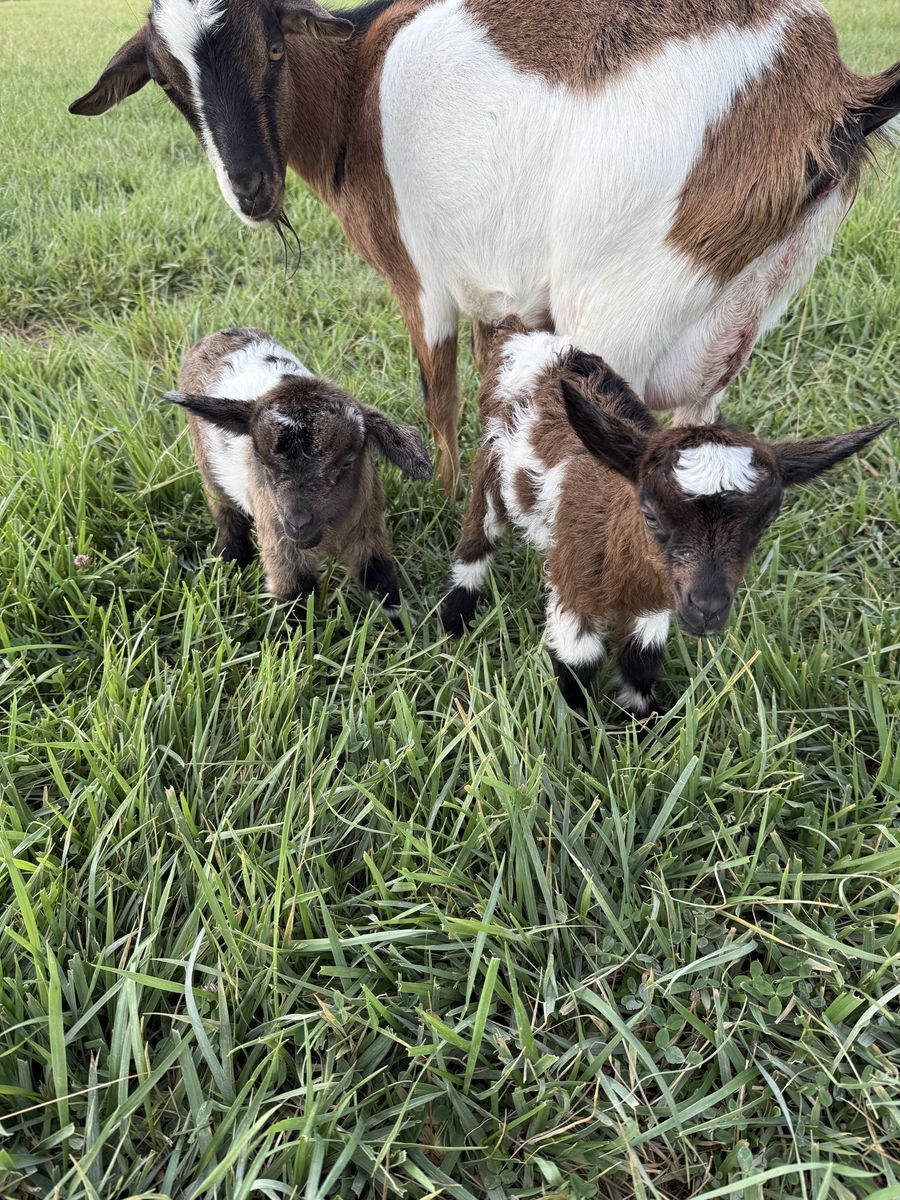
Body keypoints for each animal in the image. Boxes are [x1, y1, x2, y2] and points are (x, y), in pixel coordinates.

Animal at [71, 0, 899, 494]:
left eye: (272, 48)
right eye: (167, 81)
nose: (251, 190)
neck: (356, 85)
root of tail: (822, 86)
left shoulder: (423, 284)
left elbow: (437, 398)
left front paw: (443, 495)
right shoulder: (497, 293)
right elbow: (487, 390)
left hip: (617, 314)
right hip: (735, 318)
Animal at [168, 327, 432, 622]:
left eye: (347, 462)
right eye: (262, 461)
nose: (298, 523)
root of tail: (218, 335)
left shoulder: (369, 532)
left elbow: (382, 582)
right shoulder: (280, 547)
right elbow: (295, 603)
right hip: (208, 468)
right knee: (225, 512)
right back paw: (231, 558)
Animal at [441, 323, 893, 714]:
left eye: (764, 524)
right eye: (651, 515)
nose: (708, 608)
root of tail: (519, 336)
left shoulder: (654, 602)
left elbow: (641, 660)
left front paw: (646, 723)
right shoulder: (575, 587)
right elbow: (577, 667)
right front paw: (580, 735)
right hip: (492, 468)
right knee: (478, 538)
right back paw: (456, 619)